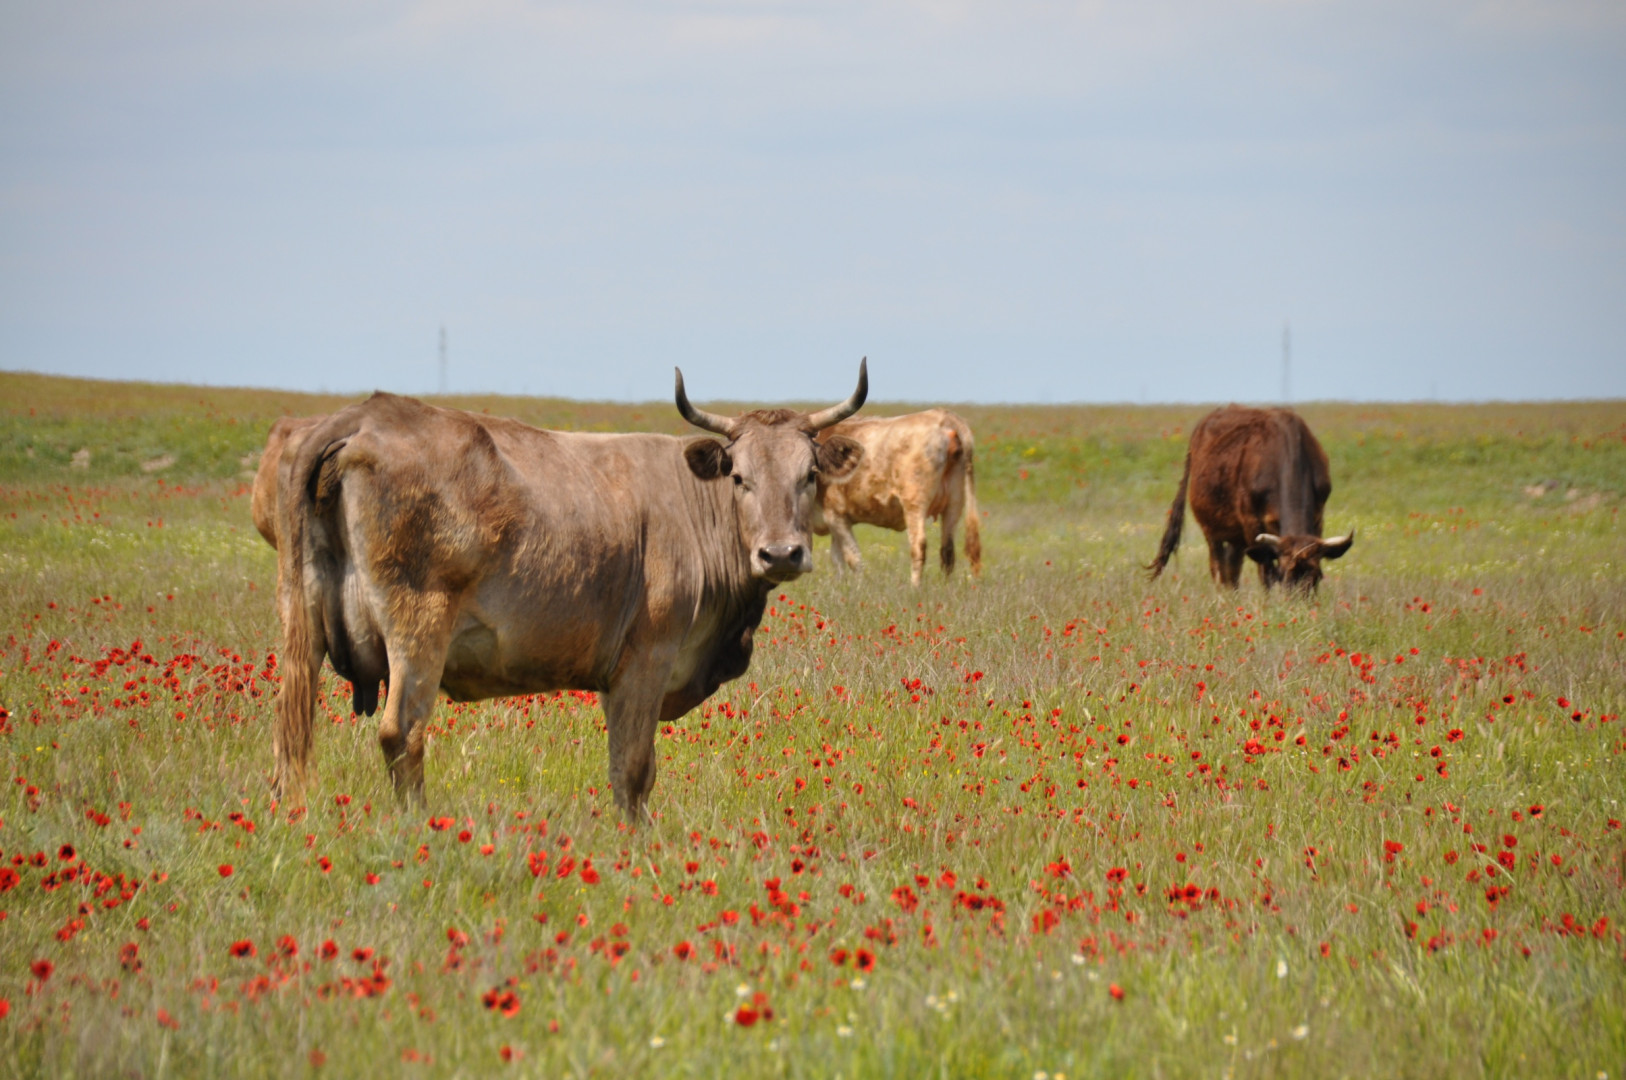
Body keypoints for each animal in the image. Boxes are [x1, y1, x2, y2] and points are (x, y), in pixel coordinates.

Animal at [813, 406, 975, 592]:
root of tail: (943, 416)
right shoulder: (835, 521)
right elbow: (837, 560)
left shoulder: (835, 515)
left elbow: (852, 558)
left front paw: (859, 589)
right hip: (954, 502)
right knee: (947, 550)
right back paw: (946, 588)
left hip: (915, 503)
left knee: (918, 545)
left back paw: (915, 589)